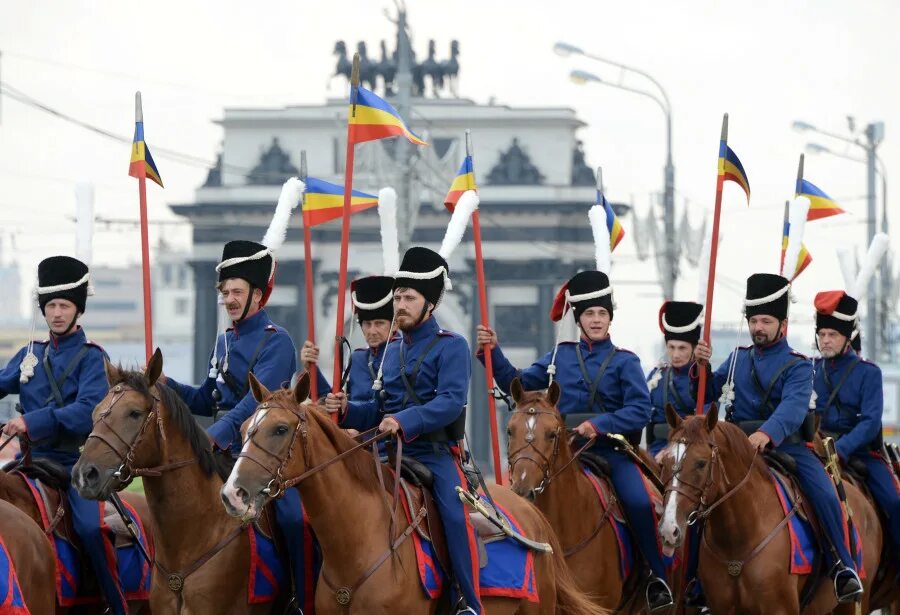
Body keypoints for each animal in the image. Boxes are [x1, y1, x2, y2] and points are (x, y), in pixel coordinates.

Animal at [652, 406, 880, 612]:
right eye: (664, 463)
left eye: (700, 463)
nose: (668, 530)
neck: (738, 539)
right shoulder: (721, 607)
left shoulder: (779, 608)